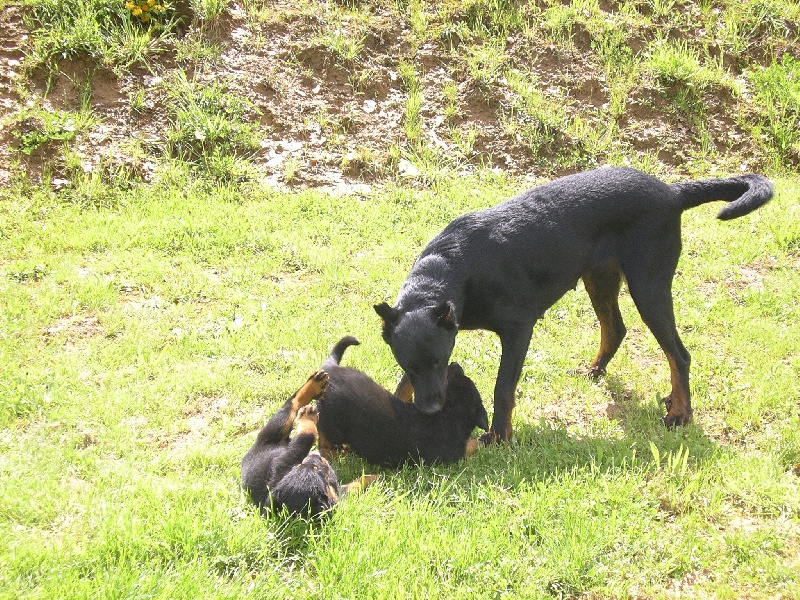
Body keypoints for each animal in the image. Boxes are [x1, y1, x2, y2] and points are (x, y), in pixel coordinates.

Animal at [241, 370, 376, 516]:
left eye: (300, 465)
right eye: (316, 469)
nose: (315, 457)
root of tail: (246, 456)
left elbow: (354, 485)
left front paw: (373, 478)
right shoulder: (283, 463)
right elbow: (307, 437)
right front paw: (308, 417)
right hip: (273, 430)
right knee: (292, 405)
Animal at [316, 336, 490, 466]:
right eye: (450, 377)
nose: (454, 363)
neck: (451, 413)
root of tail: (330, 371)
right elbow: (472, 444)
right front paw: (482, 441)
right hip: (333, 424)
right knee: (323, 437)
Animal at [376, 166, 776, 442]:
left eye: (440, 362)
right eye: (409, 364)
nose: (431, 410)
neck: (455, 266)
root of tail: (671, 192)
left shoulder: (518, 329)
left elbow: (503, 388)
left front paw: (500, 436)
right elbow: (402, 386)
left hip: (649, 287)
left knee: (679, 354)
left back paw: (680, 413)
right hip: (599, 278)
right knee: (616, 329)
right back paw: (599, 371)